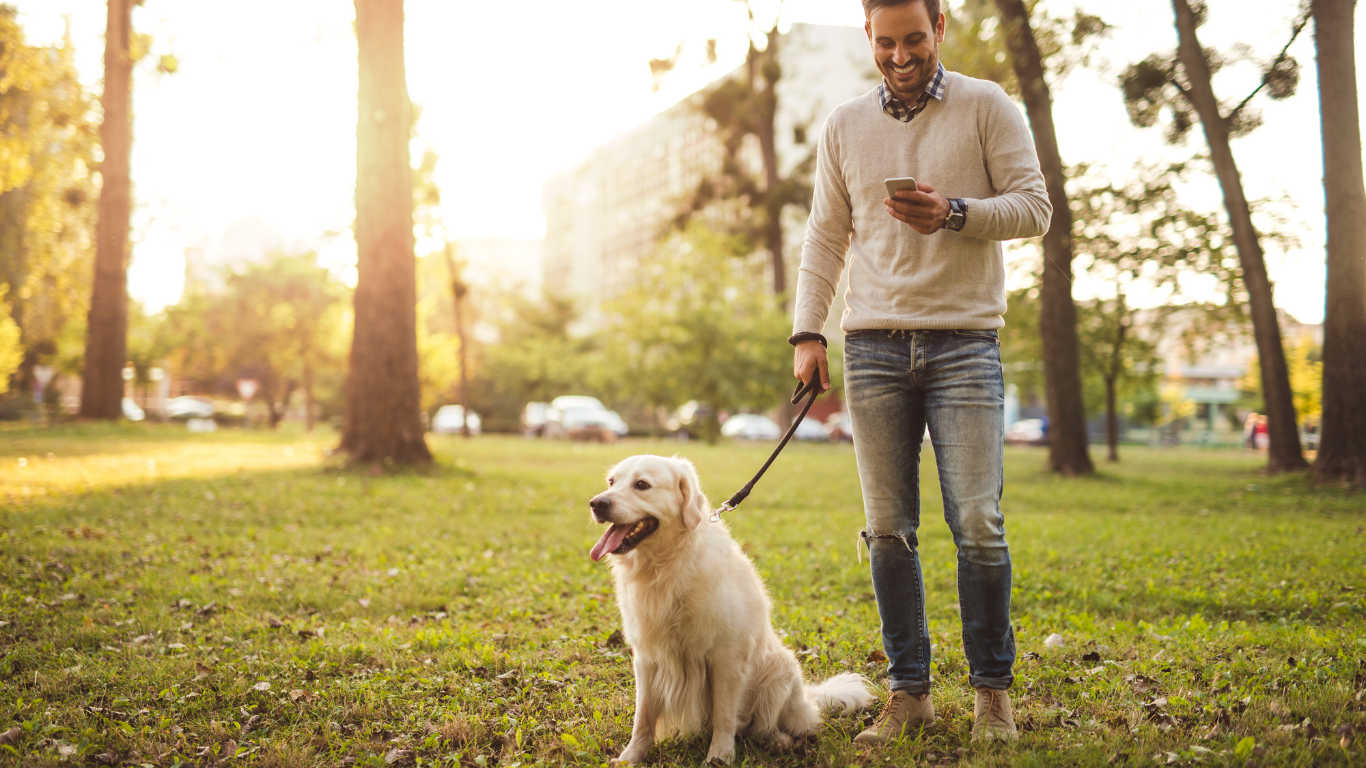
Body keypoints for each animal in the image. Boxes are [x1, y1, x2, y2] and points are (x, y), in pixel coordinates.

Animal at [590, 450, 874, 759]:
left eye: (642, 484)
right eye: (611, 481)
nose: (596, 503)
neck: (668, 565)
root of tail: (807, 700)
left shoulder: (726, 657)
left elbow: (724, 716)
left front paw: (720, 756)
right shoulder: (646, 657)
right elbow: (643, 717)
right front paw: (631, 757)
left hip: (780, 668)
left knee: (781, 725)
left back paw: (780, 740)